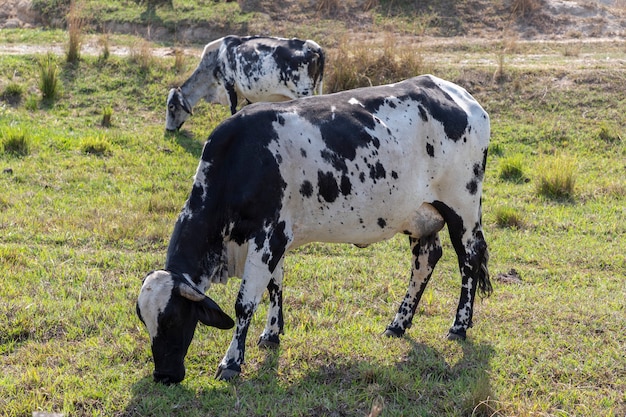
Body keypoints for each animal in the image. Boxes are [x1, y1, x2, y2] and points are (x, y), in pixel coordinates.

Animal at [138, 75, 492, 384]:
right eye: (145, 321)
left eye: (172, 318)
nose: (164, 375)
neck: (242, 159)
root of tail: (459, 94)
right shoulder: (278, 238)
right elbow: (275, 286)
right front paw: (271, 333)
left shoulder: (267, 237)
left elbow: (244, 303)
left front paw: (231, 362)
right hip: (419, 214)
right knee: (426, 259)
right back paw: (398, 324)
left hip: (462, 206)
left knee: (470, 260)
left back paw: (459, 326)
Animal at [163, 35, 324, 131]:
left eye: (171, 106)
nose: (168, 129)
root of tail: (310, 46)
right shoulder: (248, 92)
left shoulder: (229, 84)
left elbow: (233, 109)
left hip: (303, 93)